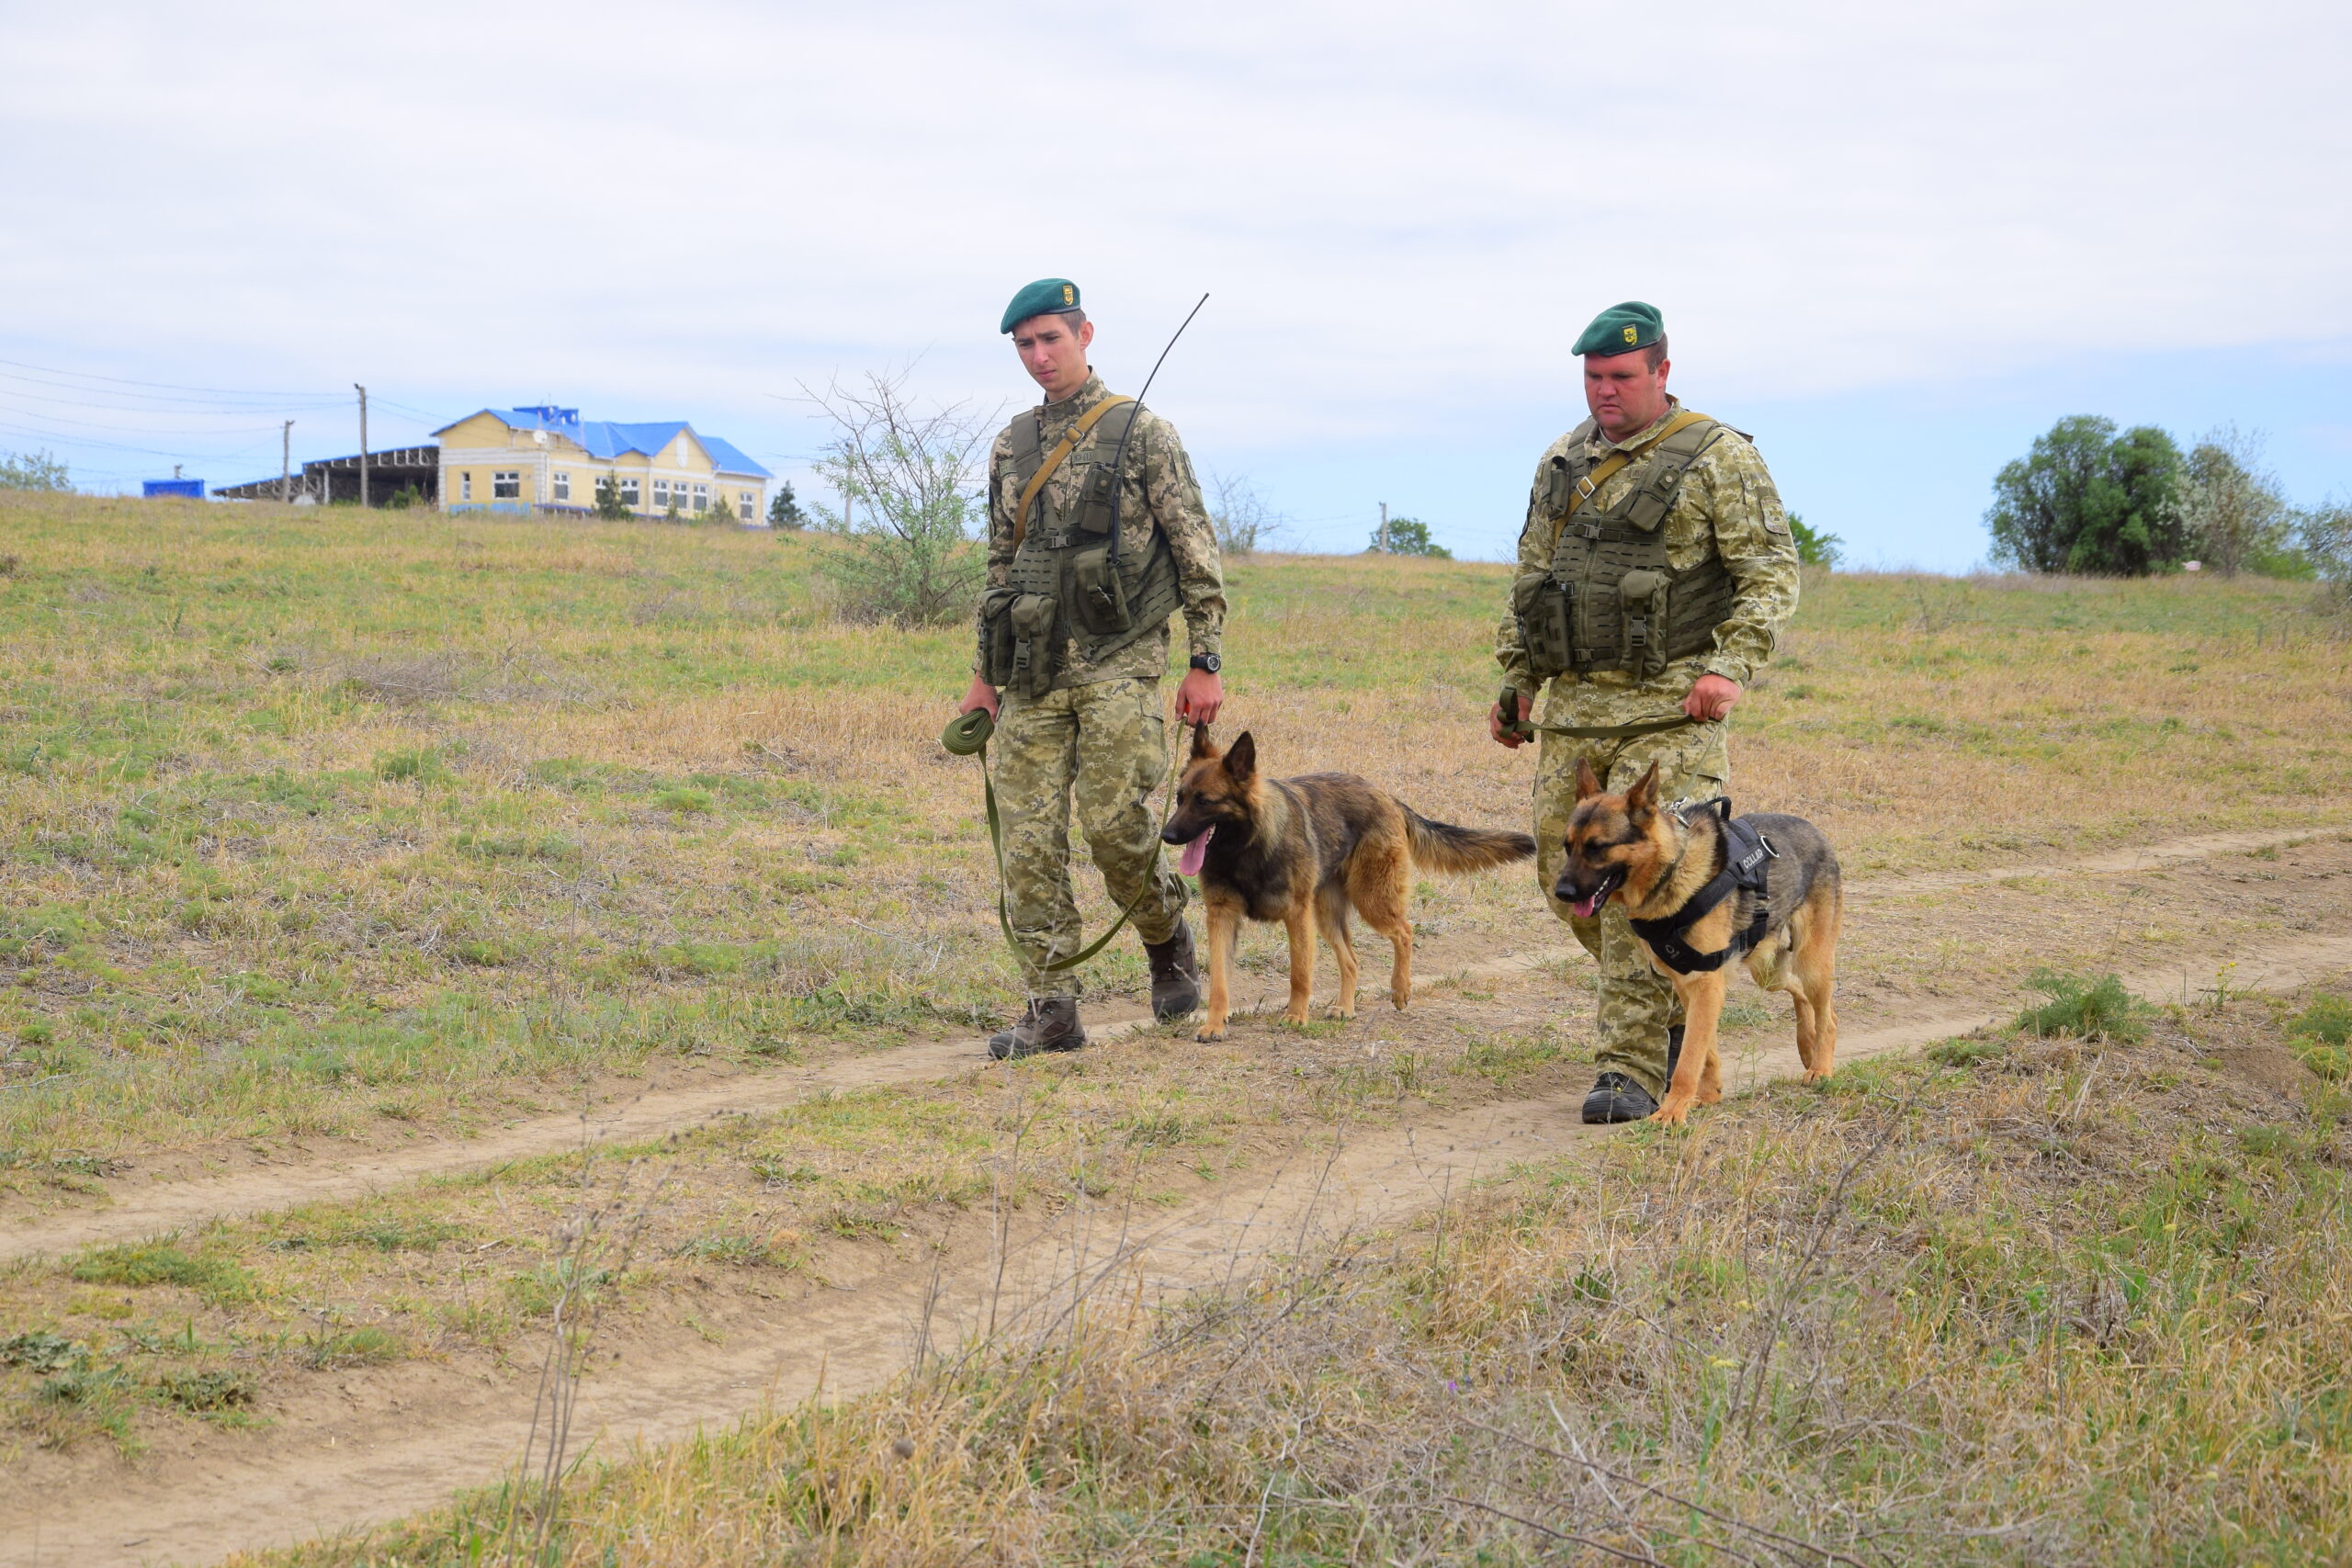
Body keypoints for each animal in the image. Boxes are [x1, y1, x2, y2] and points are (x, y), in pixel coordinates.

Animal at [1161, 733, 1533, 1048]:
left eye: (1204, 801)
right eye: (1179, 799)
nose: (1166, 835)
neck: (1246, 847)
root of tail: (1385, 795)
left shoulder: (1297, 916)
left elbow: (1300, 974)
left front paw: (1296, 1015)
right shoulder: (1222, 918)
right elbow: (1219, 982)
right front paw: (1214, 1024)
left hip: (1371, 900)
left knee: (1404, 931)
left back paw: (1400, 990)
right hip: (1328, 915)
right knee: (1352, 960)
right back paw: (1346, 1007)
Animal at [1561, 766, 1834, 1123]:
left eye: (1597, 847)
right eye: (1567, 847)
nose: (1561, 892)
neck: (1671, 870)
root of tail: (1815, 830)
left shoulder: (1706, 983)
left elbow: (1690, 1058)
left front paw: (1672, 1111)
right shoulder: (1690, 985)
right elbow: (1705, 1050)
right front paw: (1706, 1096)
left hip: (1810, 964)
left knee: (1827, 1016)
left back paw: (1821, 1066)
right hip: (1767, 971)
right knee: (1801, 995)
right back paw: (1806, 1044)